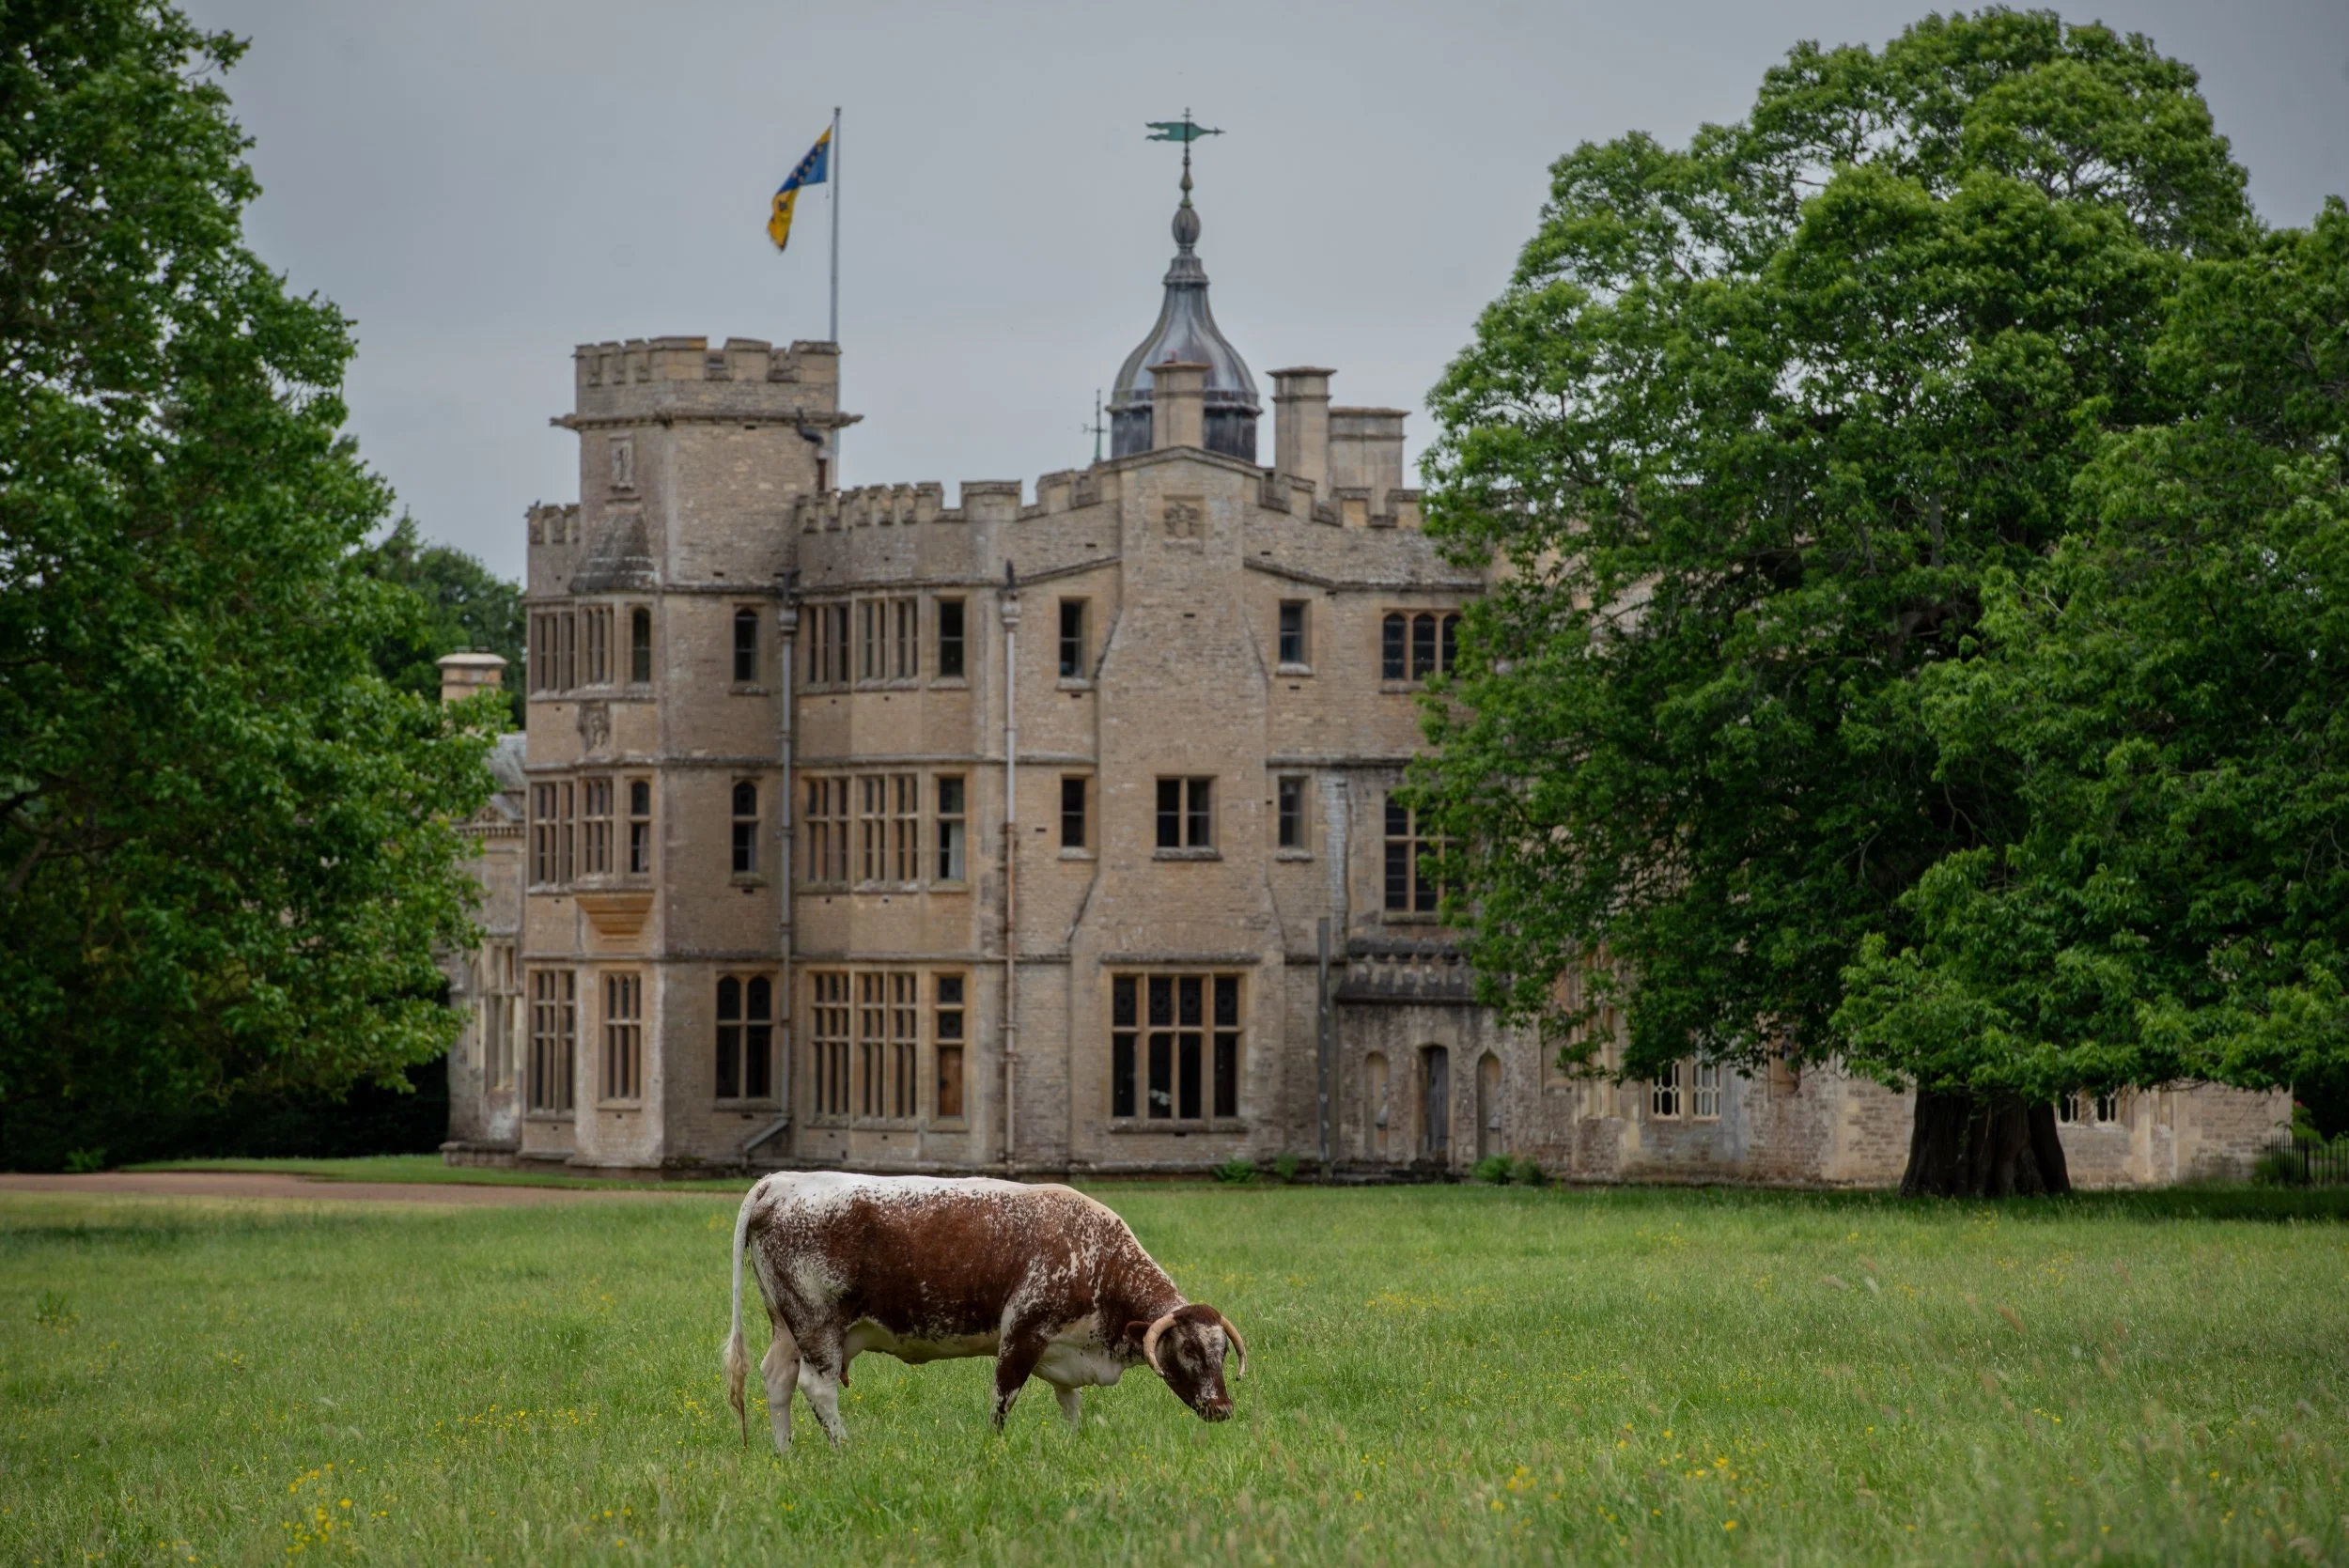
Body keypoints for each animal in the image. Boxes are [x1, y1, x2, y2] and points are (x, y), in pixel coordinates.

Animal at [722, 1171, 1246, 1448]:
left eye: (1221, 1354)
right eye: (1189, 1353)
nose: (1223, 1409)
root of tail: (782, 1180)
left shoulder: (1065, 1350)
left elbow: (1070, 1403)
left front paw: (1074, 1444)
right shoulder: (1023, 1333)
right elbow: (1002, 1399)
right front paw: (995, 1448)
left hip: (787, 1328)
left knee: (777, 1379)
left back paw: (785, 1453)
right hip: (817, 1327)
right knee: (817, 1388)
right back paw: (846, 1450)